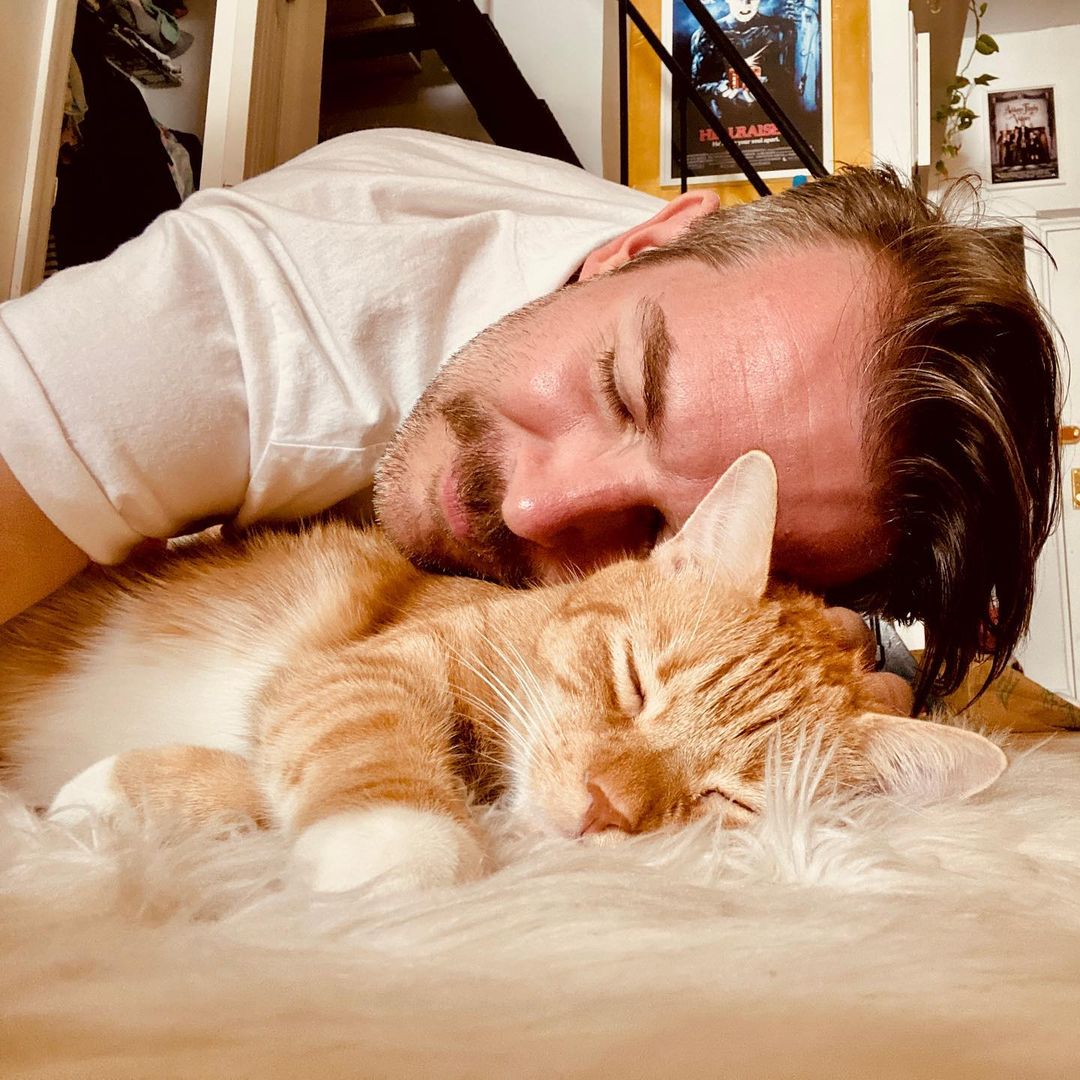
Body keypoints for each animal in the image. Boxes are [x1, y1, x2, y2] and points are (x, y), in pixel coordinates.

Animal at [0, 452, 1005, 895]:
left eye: (729, 798)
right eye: (633, 683)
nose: (603, 806)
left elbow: (256, 777)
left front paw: (106, 798)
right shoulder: (365, 666)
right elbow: (364, 736)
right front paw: (396, 842)